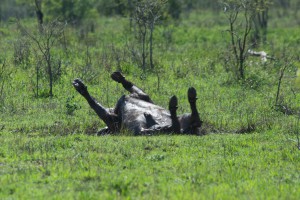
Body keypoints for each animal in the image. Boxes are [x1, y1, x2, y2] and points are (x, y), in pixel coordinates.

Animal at [72, 72, 203, 136]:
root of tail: (184, 130)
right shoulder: (113, 122)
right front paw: (81, 87)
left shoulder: (142, 96)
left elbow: (133, 88)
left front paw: (120, 77)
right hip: (142, 130)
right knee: (173, 127)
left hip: (184, 117)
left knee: (189, 119)